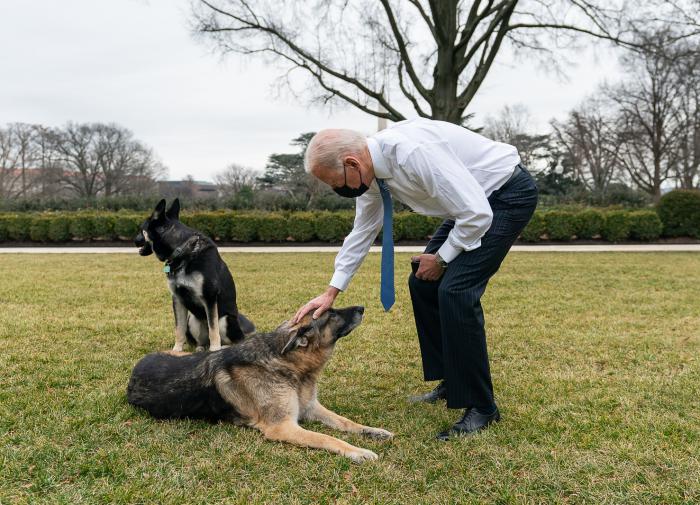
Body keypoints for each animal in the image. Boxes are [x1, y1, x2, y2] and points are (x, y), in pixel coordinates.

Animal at [126, 306, 394, 462]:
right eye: (333, 314)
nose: (362, 307)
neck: (287, 362)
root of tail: (135, 371)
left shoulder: (310, 408)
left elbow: (346, 422)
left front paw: (373, 431)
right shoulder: (283, 427)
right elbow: (328, 438)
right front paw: (358, 451)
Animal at [134, 198, 254, 350]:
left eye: (141, 229)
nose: (134, 240)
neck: (182, 251)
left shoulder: (210, 298)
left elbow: (213, 329)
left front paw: (215, 350)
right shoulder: (177, 298)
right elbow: (179, 329)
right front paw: (177, 350)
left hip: (225, 320)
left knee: (232, 340)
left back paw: (221, 347)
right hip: (192, 319)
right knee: (201, 341)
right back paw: (200, 348)